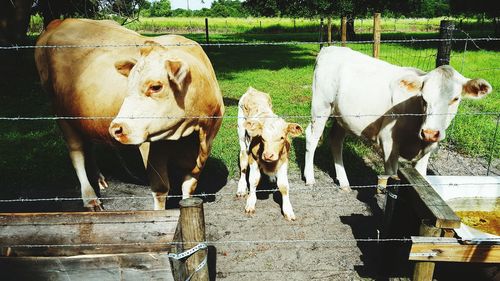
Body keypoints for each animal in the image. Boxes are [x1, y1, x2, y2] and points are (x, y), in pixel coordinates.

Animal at [35, 18, 223, 209]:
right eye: (128, 85)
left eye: (156, 86)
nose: (116, 128)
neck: (191, 132)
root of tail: (61, 22)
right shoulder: (150, 147)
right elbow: (161, 189)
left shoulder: (205, 146)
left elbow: (189, 187)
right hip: (61, 113)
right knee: (77, 152)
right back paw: (89, 197)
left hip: (83, 117)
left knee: (89, 145)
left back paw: (99, 179)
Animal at [237, 87, 302, 221]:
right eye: (262, 138)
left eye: (282, 137)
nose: (268, 155)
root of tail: (252, 90)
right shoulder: (253, 158)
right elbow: (253, 181)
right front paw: (250, 203)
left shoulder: (284, 160)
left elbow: (283, 186)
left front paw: (288, 210)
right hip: (241, 134)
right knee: (243, 162)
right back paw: (241, 188)